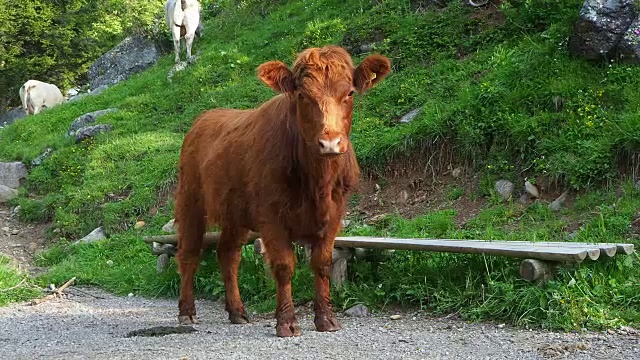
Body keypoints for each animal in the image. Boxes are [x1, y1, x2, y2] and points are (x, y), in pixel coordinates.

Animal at [175, 45, 392, 338]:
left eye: (349, 93)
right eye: (302, 95)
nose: (330, 142)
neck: (317, 182)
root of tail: (205, 118)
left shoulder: (334, 213)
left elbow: (322, 263)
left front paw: (326, 319)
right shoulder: (271, 216)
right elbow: (284, 266)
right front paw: (287, 322)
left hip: (235, 214)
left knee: (228, 254)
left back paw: (237, 311)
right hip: (190, 201)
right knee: (189, 254)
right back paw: (186, 312)